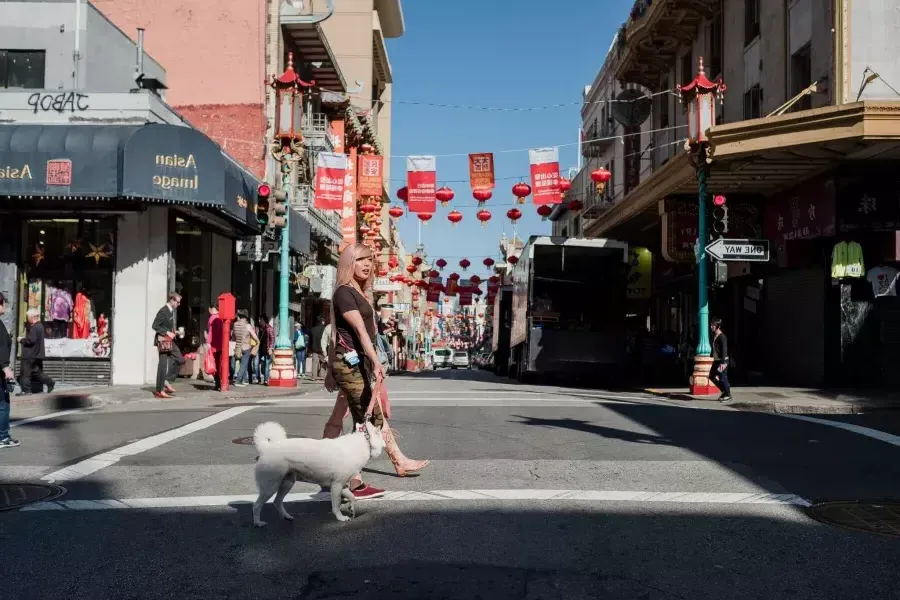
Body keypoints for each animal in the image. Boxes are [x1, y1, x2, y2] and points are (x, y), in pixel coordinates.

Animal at [251, 422, 384, 524]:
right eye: (382, 435)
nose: (385, 442)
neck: (365, 441)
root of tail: (267, 448)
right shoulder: (336, 485)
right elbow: (336, 505)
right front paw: (340, 517)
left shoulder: (343, 485)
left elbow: (352, 497)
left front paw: (351, 508)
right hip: (270, 487)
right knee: (257, 505)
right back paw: (258, 523)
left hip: (286, 484)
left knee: (277, 502)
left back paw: (286, 516)